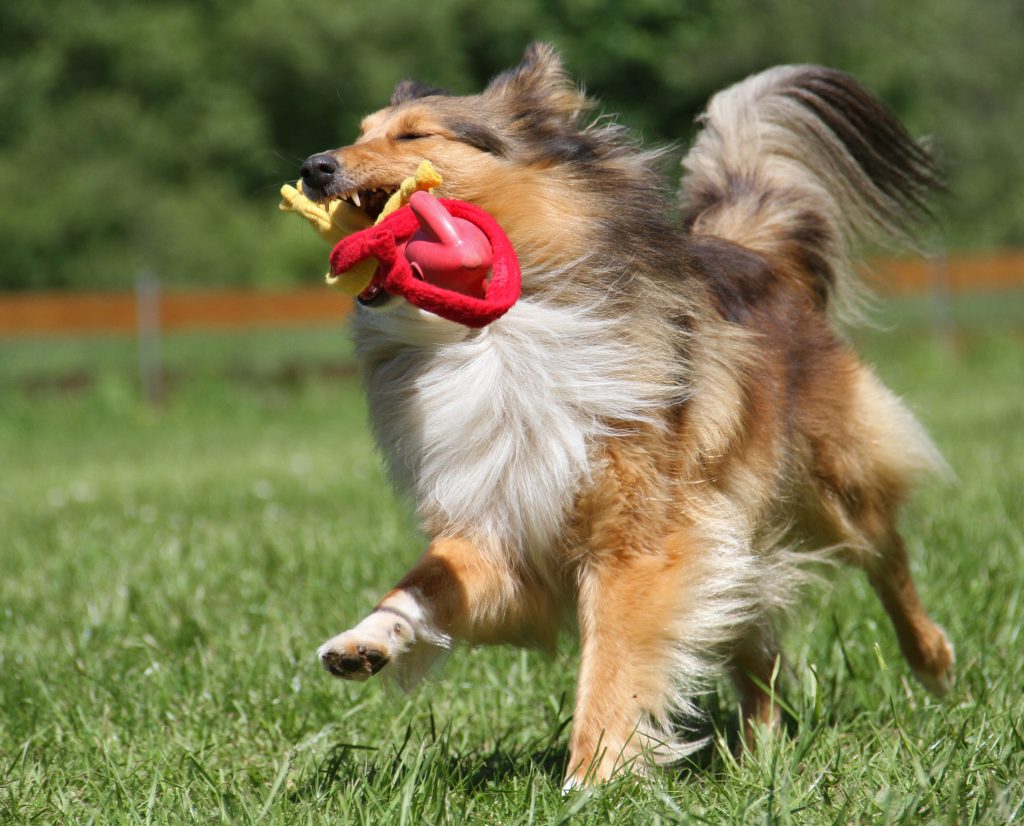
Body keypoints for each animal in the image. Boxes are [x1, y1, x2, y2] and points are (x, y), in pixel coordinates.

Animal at [301, 43, 950, 790]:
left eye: (413, 136)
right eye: (361, 131)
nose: (314, 165)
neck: (497, 332)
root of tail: (756, 252)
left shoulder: (639, 541)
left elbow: (612, 664)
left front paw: (590, 780)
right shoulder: (505, 525)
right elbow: (425, 579)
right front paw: (364, 641)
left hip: (831, 485)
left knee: (887, 552)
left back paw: (934, 663)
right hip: (731, 531)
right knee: (755, 644)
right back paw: (761, 757)